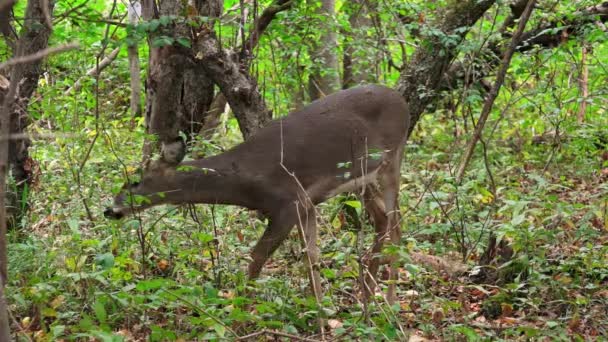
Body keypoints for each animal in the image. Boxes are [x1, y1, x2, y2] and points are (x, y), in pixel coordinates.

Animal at [104, 84, 410, 304]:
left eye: (134, 181)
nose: (110, 209)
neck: (246, 181)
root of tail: (401, 100)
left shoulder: (288, 204)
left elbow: (257, 257)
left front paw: (240, 311)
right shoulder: (307, 203)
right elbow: (311, 258)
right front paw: (322, 315)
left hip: (393, 158)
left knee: (396, 224)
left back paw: (389, 301)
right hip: (363, 179)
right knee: (382, 220)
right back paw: (367, 295)